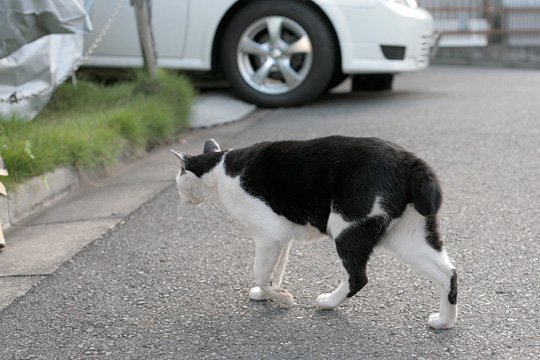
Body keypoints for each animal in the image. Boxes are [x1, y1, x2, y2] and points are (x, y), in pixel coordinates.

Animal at [171, 136, 458, 330]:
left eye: (178, 181)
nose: (180, 199)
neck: (219, 170)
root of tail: (409, 161)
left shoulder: (268, 236)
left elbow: (261, 274)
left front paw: (283, 299)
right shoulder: (281, 238)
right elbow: (275, 271)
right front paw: (267, 294)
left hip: (346, 227)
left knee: (357, 277)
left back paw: (328, 302)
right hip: (409, 237)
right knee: (449, 273)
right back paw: (444, 321)